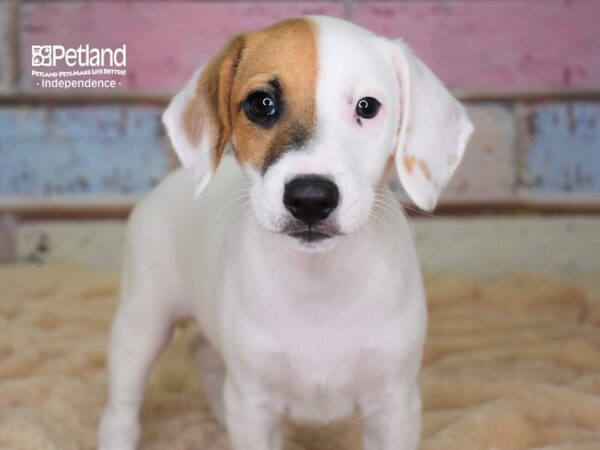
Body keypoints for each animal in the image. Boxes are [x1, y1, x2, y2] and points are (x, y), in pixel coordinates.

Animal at [98, 14, 474, 450]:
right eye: (262, 104)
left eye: (367, 107)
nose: (310, 198)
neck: (319, 284)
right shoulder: (254, 406)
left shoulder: (394, 404)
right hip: (143, 319)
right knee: (123, 403)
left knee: (201, 350)